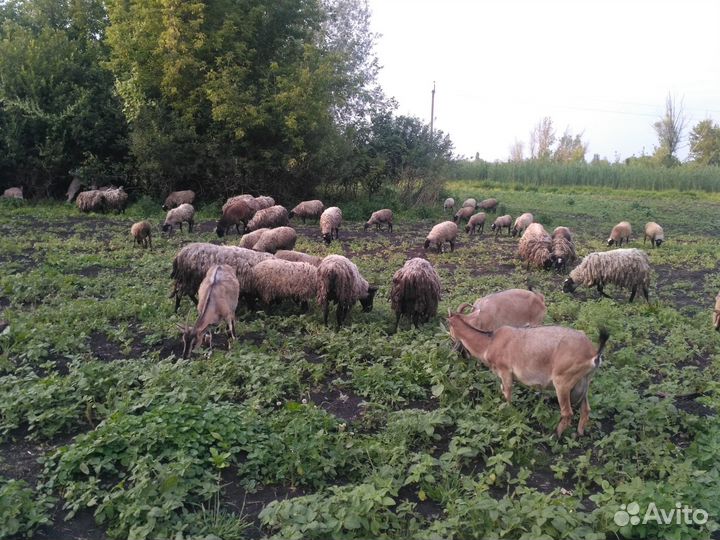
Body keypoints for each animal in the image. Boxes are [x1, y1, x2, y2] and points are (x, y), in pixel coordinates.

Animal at [447, 309, 609, 436]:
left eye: (449, 325)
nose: (453, 344)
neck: (489, 343)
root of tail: (593, 354)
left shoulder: (505, 371)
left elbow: (507, 393)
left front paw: (509, 414)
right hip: (584, 381)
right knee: (586, 409)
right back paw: (580, 433)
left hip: (563, 381)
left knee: (567, 412)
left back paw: (556, 435)